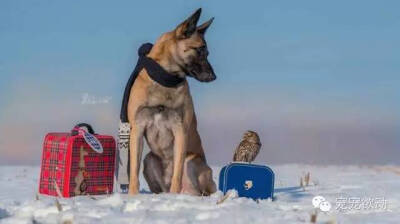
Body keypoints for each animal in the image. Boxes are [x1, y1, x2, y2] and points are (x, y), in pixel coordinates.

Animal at [127, 7, 216, 195]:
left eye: (207, 53)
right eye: (199, 50)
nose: (214, 77)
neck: (165, 79)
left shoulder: (180, 130)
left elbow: (177, 173)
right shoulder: (137, 129)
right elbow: (133, 173)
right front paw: (132, 196)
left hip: (192, 162)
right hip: (149, 160)